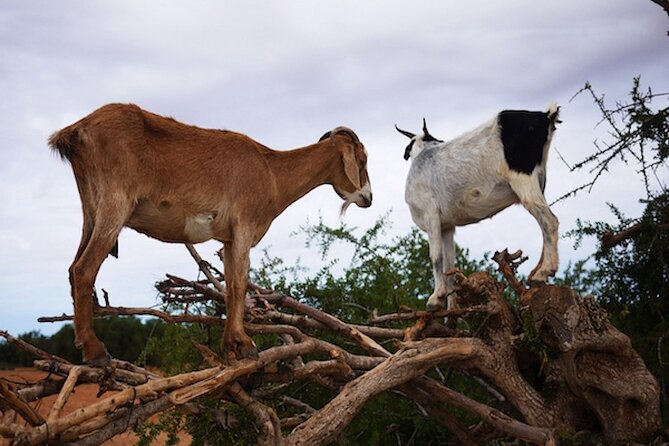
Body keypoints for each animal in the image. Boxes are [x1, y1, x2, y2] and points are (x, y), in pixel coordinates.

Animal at [49, 103, 374, 362]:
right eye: (363, 159)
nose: (368, 198)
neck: (271, 171)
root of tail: (75, 132)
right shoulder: (244, 225)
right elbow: (240, 284)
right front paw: (246, 345)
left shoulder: (228, 238)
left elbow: (230, 285)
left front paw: (230, 346)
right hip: (115, 204)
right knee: (84, 268)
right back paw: (96, 352)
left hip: (91, 208)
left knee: (73, 267)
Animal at [400, 104, 560, 310]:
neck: (424, 154)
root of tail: (545, 116)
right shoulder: (447, 226)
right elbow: (449, 264)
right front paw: (452, 310)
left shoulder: (430, 215)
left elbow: (435, 256)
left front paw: (435, 298)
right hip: (539, 182)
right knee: (543, 223)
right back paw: (537, 272)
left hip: (523, 179)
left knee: (549, 221)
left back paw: (543, 273)